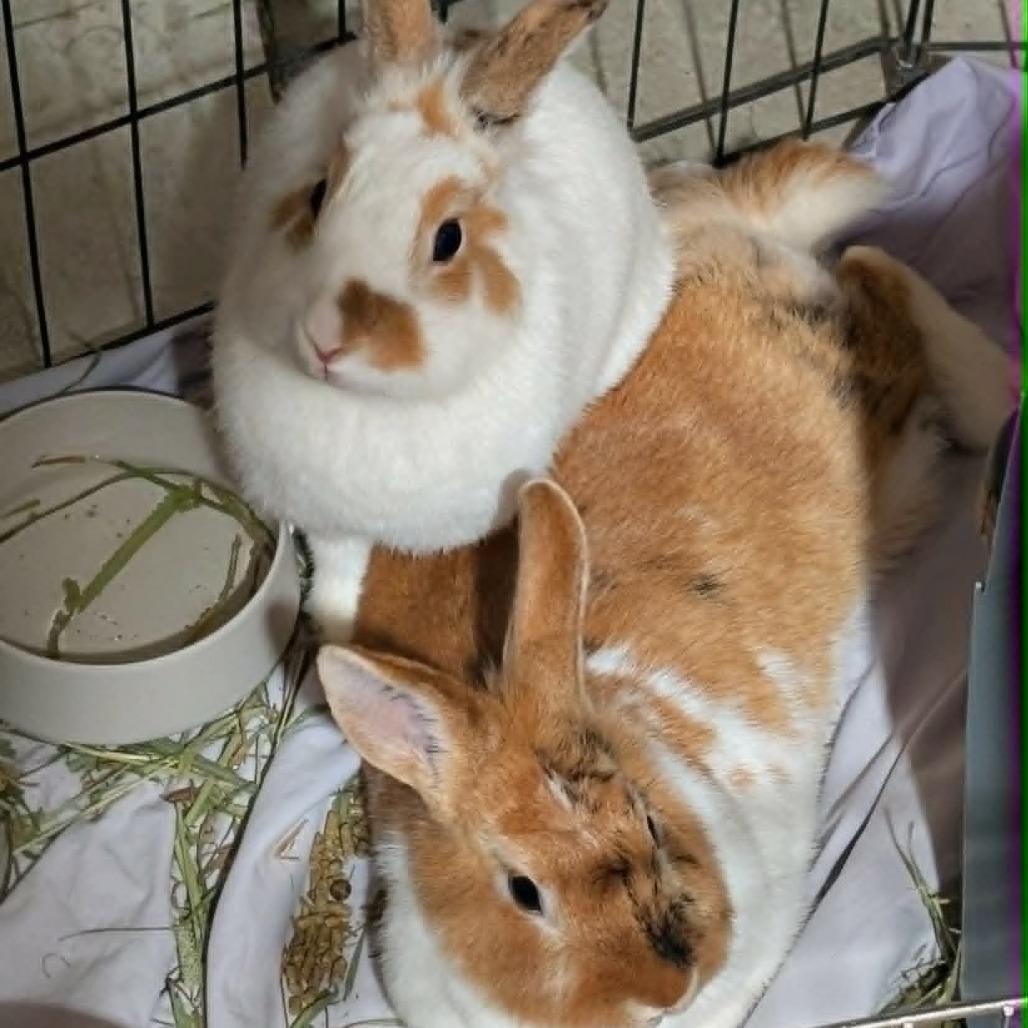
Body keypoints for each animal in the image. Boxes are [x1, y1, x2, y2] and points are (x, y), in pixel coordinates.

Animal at [210, 0, 676, 640]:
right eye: (318, 194)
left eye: (449, 238)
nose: (326, 340)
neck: (369, 405)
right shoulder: (329, 524)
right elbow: (336, 581)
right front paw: (329, 641)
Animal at [315, 141, 1013, 1028]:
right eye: (523, 892)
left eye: (647, 821)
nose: (669, 989)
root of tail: (724, 237)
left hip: (876, 415)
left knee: (874, 273)